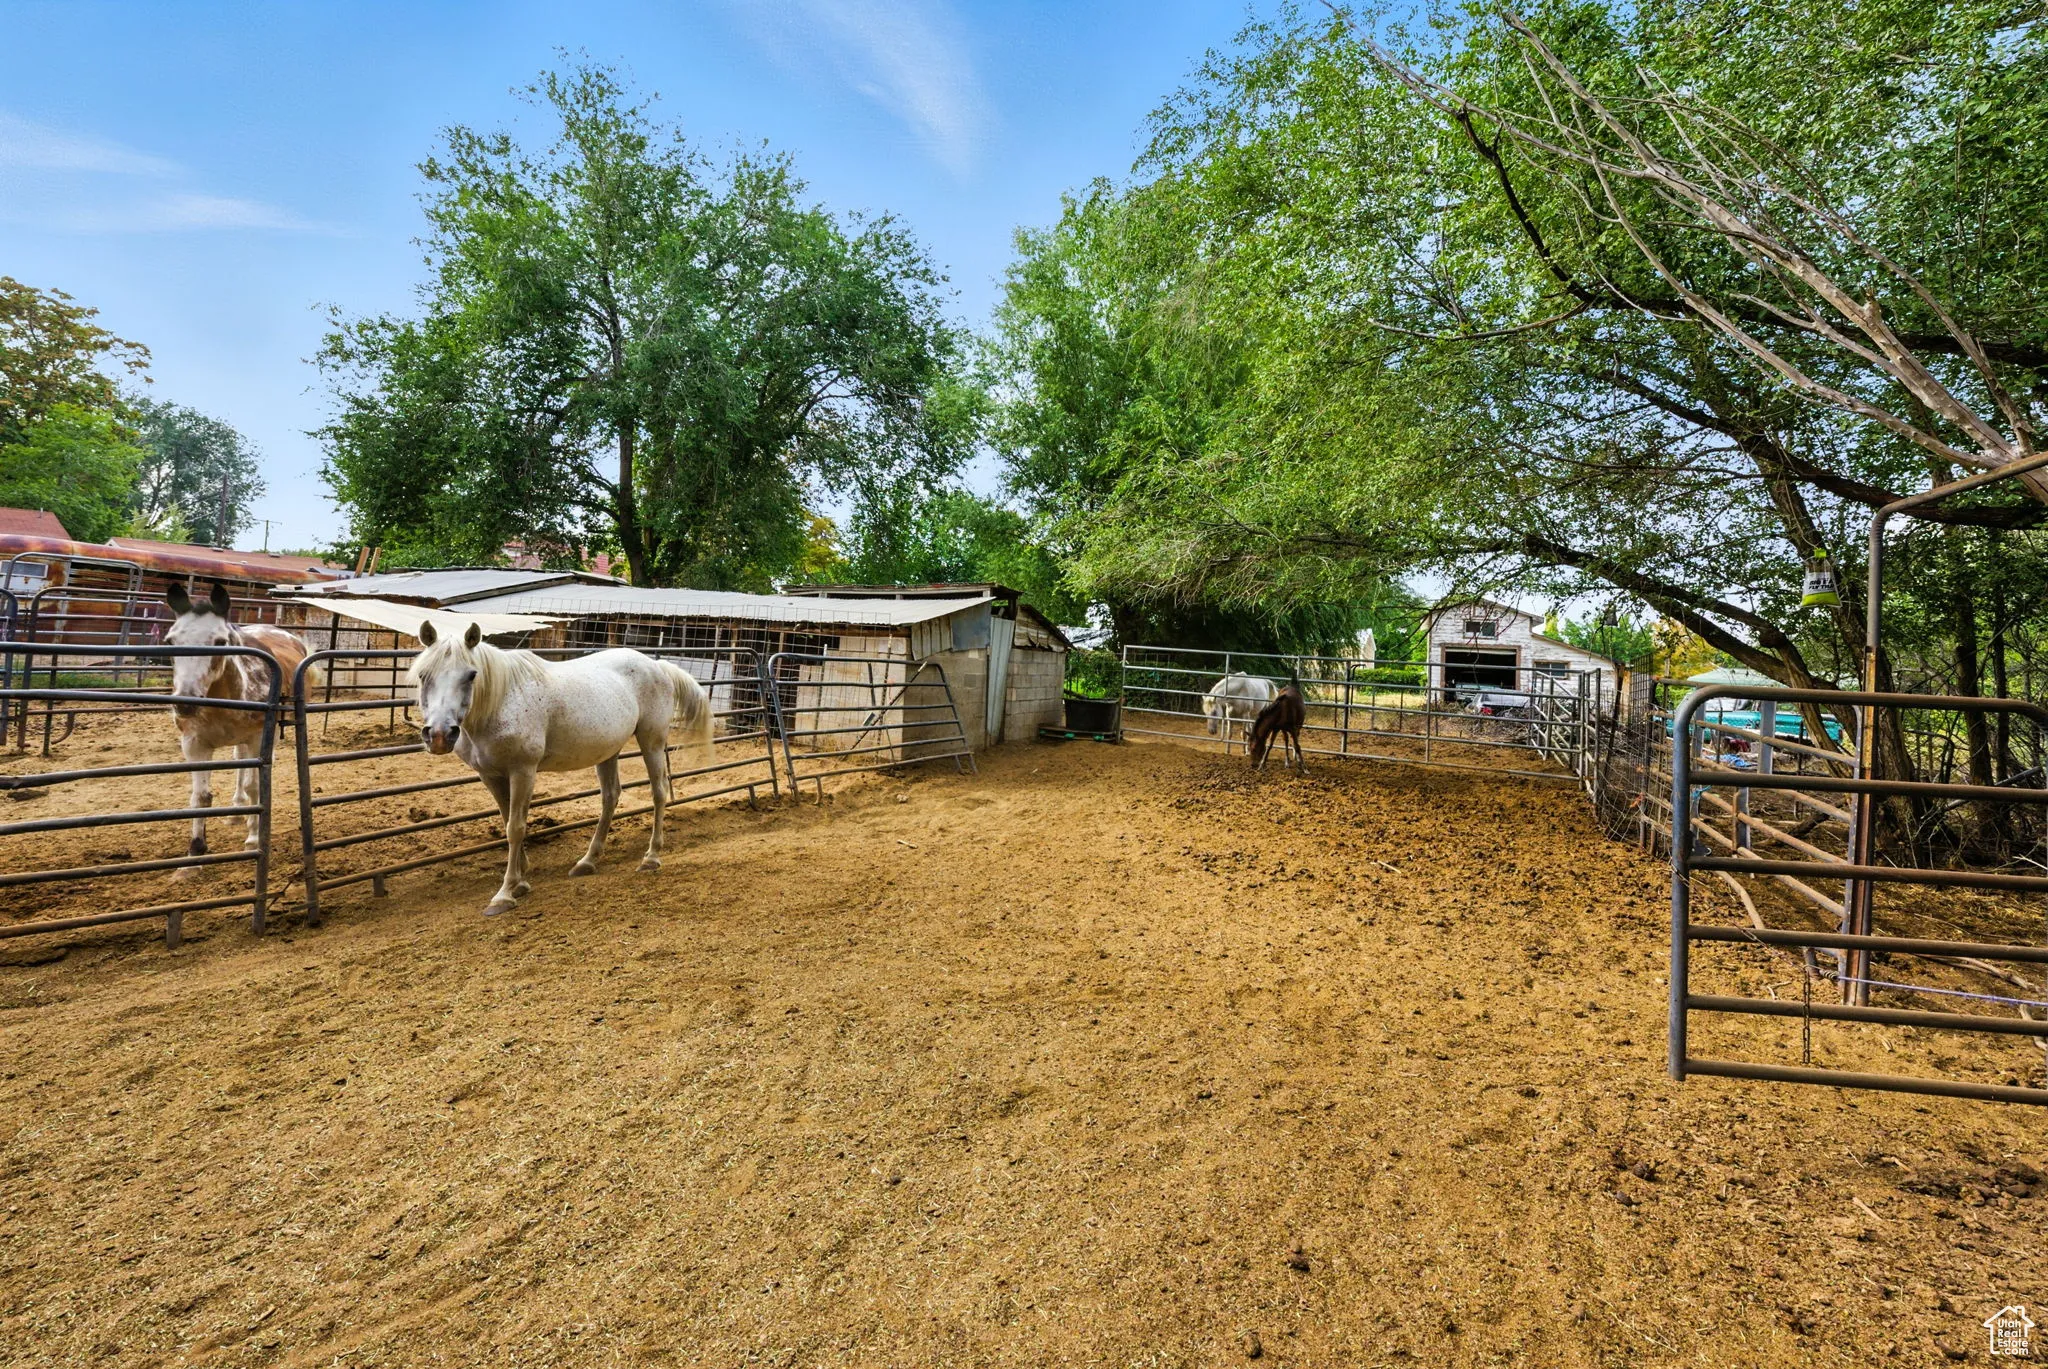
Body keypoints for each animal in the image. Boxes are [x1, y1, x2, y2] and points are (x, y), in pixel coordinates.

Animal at [163, 581, 319, 869]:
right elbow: (201, 796)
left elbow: (256, 786)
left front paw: (254, 838)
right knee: (239, 762)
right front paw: (194, 853)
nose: (185, 703)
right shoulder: (194, 745)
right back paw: (236, 811)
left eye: (220, 642)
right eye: (170, 642)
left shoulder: (258, 738)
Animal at [408, 621, 714, 916]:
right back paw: (587, 861)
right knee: (610, 797)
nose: (439, 735)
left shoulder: (523, 771)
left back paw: (651, 857)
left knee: (658, 792)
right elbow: (507, 820)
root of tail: (657, 666)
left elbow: (515, 827)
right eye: (423, 675)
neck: (500, 702)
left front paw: (505, 893)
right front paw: (521, 880)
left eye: (471, 675)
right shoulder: (490, 776)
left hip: (651, 742)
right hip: (609, 751)